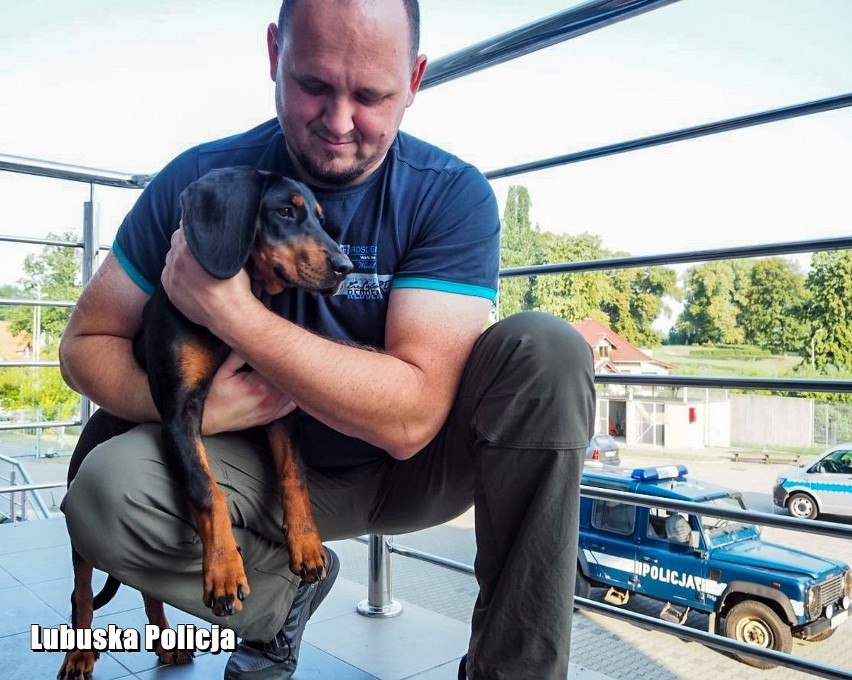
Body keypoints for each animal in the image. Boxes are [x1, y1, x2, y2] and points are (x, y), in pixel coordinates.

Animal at [59, 167, 352, 680]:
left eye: (320, 217)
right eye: (284, 211)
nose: (345, 266)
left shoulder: (276, 406)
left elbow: (293, 476)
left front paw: (308, 545)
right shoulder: (180, 413)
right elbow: (206, 489)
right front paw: (224, 571)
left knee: (146, 585)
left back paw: (166, 642)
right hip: (79, 526)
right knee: (81, 593)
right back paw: (79, 654)